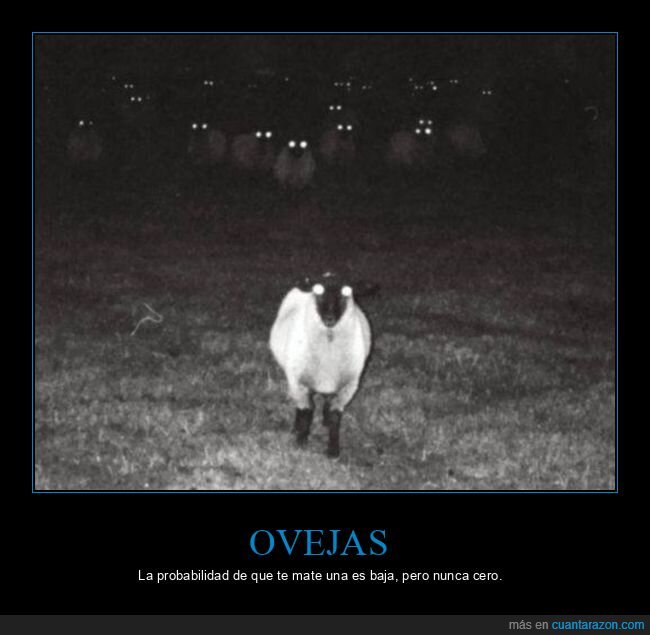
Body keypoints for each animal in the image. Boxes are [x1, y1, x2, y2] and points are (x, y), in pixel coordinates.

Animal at [269, 273, 372, 457]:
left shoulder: (347, 386)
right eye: (318, 291)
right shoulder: (298, 382)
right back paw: (296, 428)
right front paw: (301, 440)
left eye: (346, 292)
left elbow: (335, 416)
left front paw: (333, 449)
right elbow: (306, 411)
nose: (329, 318)